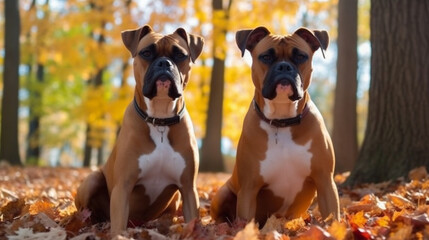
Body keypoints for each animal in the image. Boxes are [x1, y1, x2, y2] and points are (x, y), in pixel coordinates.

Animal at [75, 24, 204, 236]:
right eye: (147, 53)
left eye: (180, 55)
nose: (164, 63)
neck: (160, 120)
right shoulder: (123, 187)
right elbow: (118, 226)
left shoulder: (188, 189)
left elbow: (193, 221)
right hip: (92, 179)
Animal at [210, 26, 338, 227]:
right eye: (266, 57)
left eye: (300, 56)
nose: (284, 67)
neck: (282, 121)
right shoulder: (249, 189)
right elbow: (245, 224)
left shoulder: (325, 181)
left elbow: (333, 219)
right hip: (222, 194)